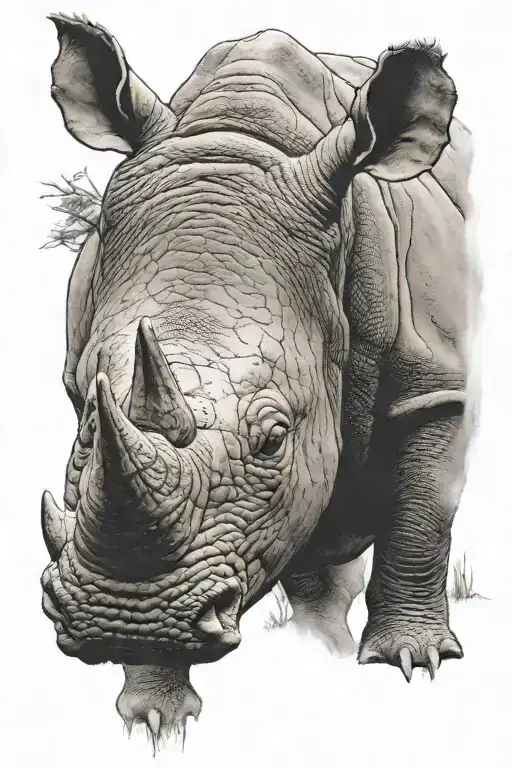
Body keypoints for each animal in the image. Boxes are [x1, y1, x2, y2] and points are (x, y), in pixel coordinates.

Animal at [41, 12, 475, 748]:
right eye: (88, 423)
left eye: (273, 439)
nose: (124, 619)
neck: (243, 136)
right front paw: (154, 717)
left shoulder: (435, 381)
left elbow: (422, 513)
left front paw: (411, 663)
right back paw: (317, 645)